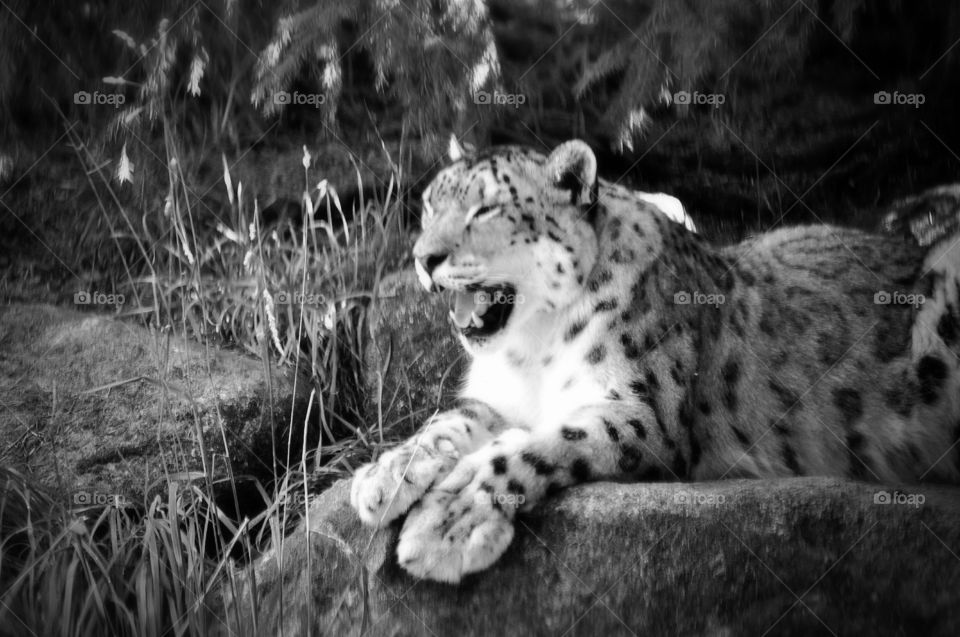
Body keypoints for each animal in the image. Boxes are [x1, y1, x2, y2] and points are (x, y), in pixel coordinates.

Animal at [350, 136, 960, 583]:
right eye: (431, 205)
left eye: (487, 208)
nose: (423, 258)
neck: (530, 350)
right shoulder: (499, 401)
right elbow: (448, 420)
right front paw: (383, 476)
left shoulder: (642, 413)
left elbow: (535, 446)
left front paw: (447, 523)